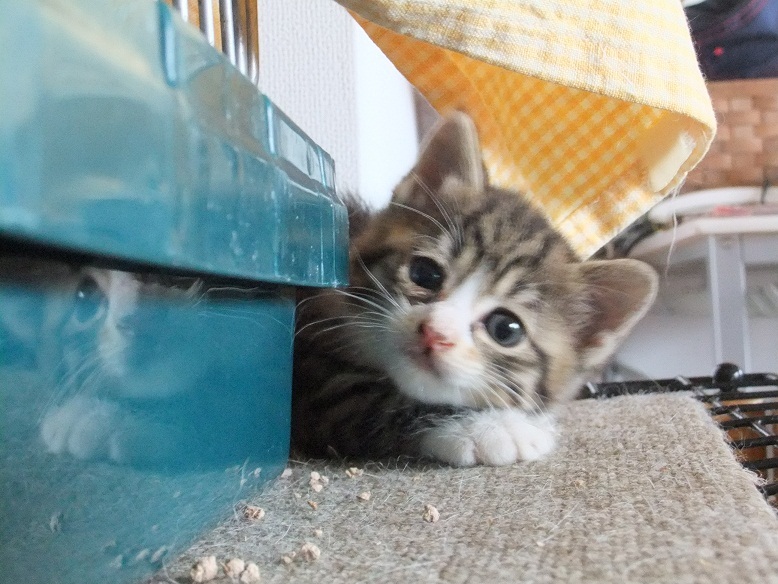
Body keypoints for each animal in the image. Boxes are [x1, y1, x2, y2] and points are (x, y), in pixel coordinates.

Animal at [292, 112, 659, 466]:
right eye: (425, 274)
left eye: (505, 329)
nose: (434, 332)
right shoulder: (315, 381)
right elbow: (383, 400)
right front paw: (495, 427)